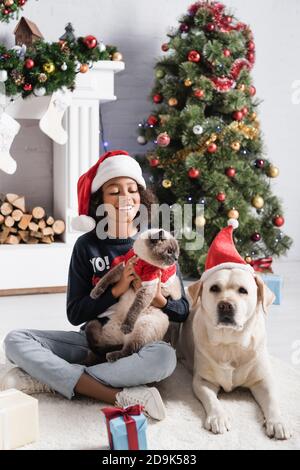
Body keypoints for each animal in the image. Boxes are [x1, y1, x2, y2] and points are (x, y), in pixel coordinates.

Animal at [85, 229, 182, 362]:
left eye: (177, 251)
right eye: (169, 251)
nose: (176, 259)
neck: (142, 259)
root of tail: (123, 338)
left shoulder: (148, 285)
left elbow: (135, 307)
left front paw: (127, 326)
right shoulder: (124, 267)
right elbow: (107, 278)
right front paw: (94, 293)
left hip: (143, 326)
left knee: (129, 350)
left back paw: (113, 353)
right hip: (107, 332)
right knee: (99, 347)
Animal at [177, 268, 292, 440]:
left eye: (243, 290)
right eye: (214, 288)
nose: (225, 305)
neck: (229, 343)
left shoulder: (263, 380)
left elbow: (272, 400)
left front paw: (278, 422)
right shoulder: (203, 381)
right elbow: (212, 400)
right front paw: (218, 417)